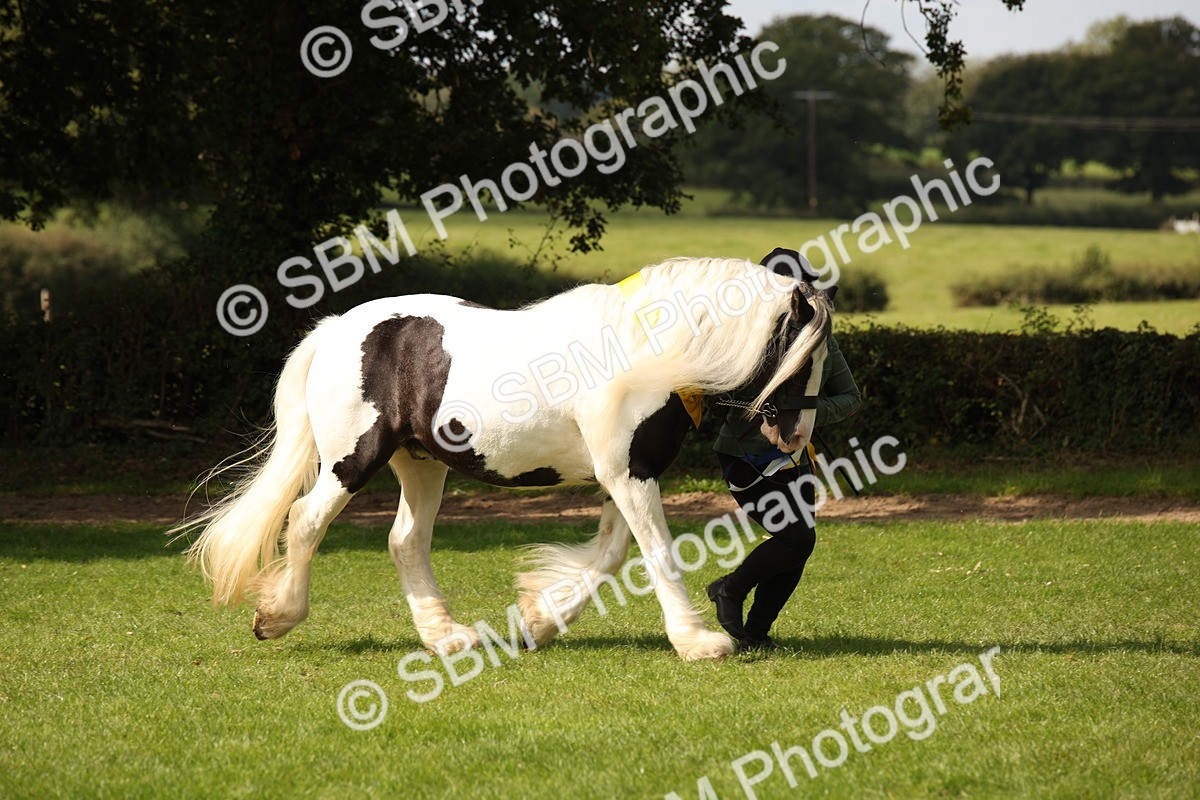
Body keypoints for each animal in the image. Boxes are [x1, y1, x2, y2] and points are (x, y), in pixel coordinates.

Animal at [176, 256, 834, 661]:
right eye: (802, 351)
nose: (798, 435)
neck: (645, 348)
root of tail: (338, 328)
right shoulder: (629, 474)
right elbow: (654, 553)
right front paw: (699, 642)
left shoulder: (623, 474)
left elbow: (611, 554)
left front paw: (537, 620)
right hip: (353, 460)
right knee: (307, 519)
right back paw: (277, 616)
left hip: (423, 464)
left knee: (404, 541)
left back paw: (448, 638)